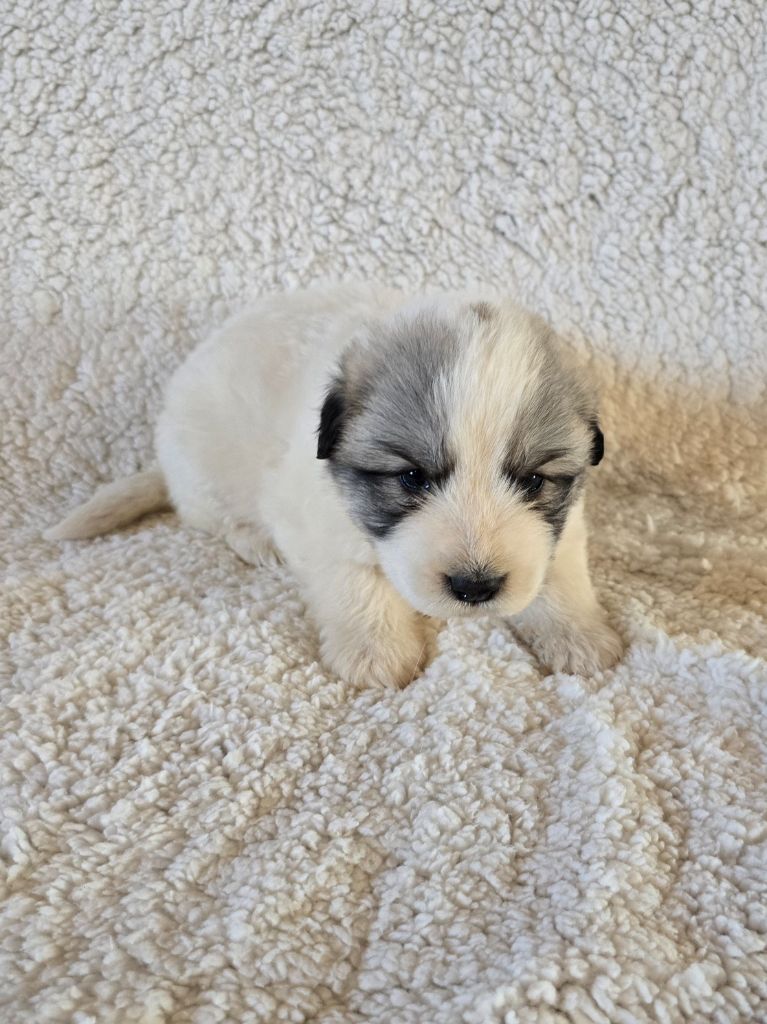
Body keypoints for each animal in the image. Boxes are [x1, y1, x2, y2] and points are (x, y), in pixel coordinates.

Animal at [47, 284, 623, 687]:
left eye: (534, 480)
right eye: (411, 477)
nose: (475, 587)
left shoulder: (564, 525)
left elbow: (560, 576)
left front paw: (580, 635)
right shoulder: (314, 518)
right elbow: (355, 582)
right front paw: (376, 651)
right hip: (205, 469)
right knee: (214, 518)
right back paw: (255, 540)